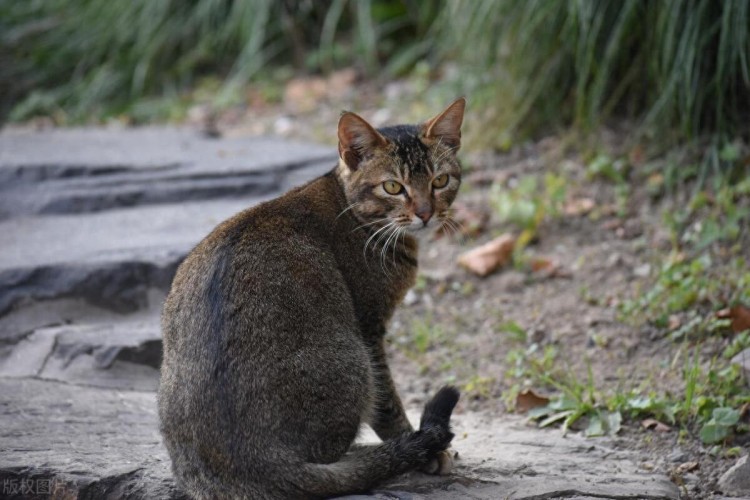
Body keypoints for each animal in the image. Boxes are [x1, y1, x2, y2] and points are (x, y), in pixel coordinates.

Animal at [157, 97, 464, 500]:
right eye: (393, 187)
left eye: (439, 181)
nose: (426, 214)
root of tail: (250, 463)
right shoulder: (370, 328)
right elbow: (388, 405)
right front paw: (419, 447)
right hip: (355, 360)